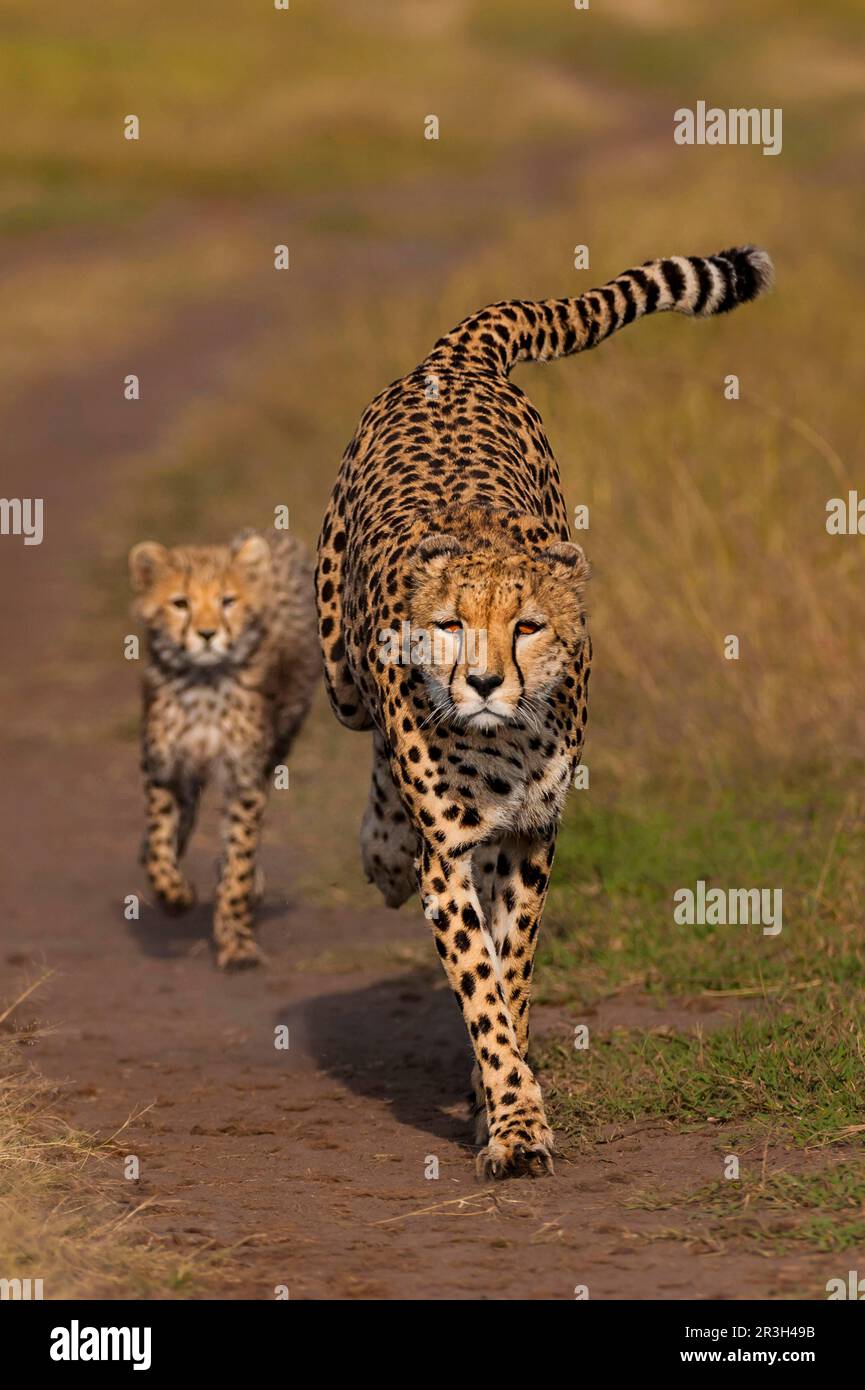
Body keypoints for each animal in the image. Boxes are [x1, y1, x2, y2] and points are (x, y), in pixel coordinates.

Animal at [317, 247, 773, 1173]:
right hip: (339, 667)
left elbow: (510, 969)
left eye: (526, 626)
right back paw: (383, 855)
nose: (485, 683)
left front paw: (499, 1102)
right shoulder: (450, 854)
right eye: (450, 626)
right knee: (372, 746)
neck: (499, 746)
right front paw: (515, 1121)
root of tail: (456, 359)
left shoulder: (533, 835)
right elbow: (481, 988)